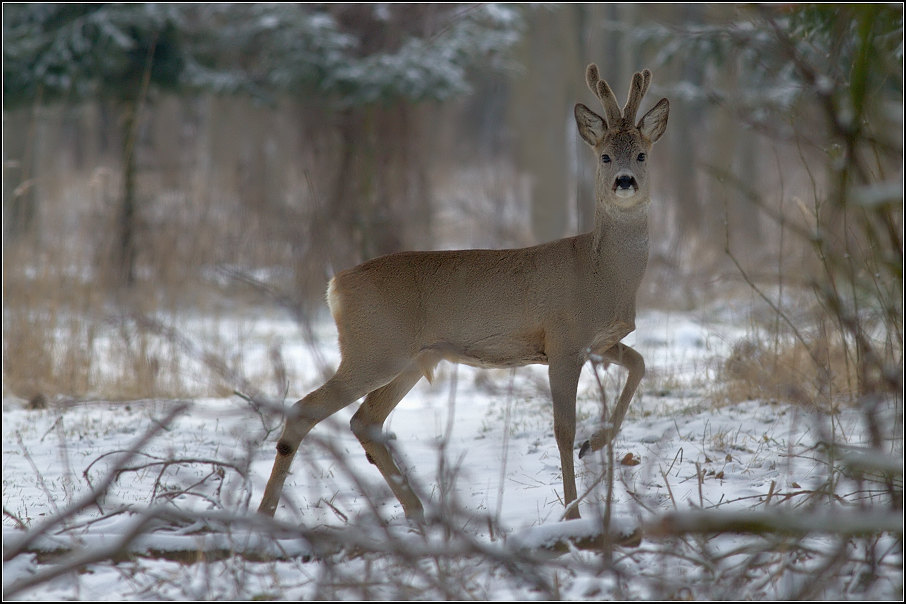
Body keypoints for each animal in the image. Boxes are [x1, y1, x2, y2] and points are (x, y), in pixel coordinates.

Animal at [258, 63, 668, 520]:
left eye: (642, 153)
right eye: (605, 155)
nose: (625, 181)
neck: (603, 275)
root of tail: (335, 286)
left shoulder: (596, 342)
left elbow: (640, 364)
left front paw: (593, 445)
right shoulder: (564, 341)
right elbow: (563, 429)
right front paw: (573, 513)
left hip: (413, 357)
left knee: (365, 420)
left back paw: (418, 511)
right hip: (375, 349)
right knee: (305, 411)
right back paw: (267, 514)